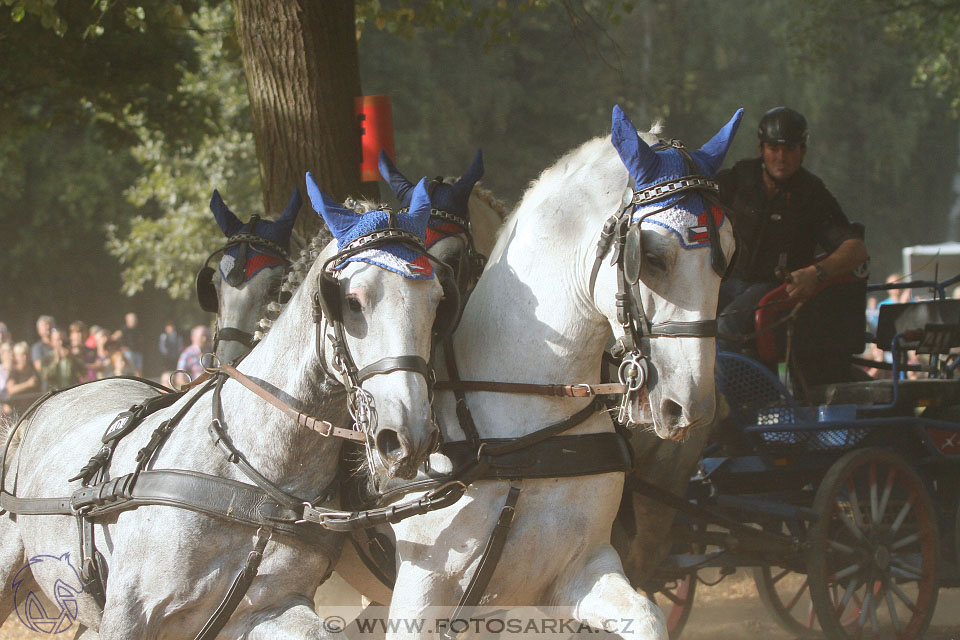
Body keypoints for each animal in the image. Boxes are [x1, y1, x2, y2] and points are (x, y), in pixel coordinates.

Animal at [0, 176, 448, 640]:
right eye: (352, 301)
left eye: (437, 302)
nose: (408, 436)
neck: (254, 478)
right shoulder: (129, 612)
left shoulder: (269, 607)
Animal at [382, 107, 744, 636]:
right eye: (653, 256)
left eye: (729, 254)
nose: (692, 406)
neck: (524, 429)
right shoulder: (422, 593)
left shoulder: (577, 573)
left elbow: (647, 615)